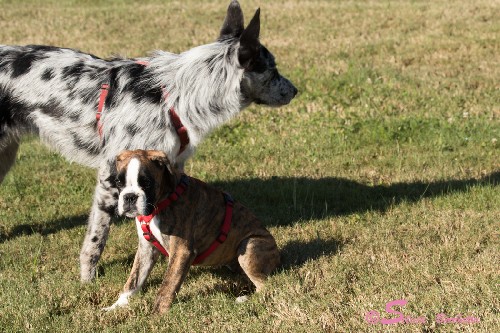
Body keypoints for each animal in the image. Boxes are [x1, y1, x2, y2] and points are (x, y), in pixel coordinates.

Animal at [0, 0, 296, 282]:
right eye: (272, 70)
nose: (295, 90)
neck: (176, 95)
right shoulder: (110, 179)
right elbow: (96, 239)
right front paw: (87, 280)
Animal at [104, 149, 282, 312]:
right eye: (118, 183)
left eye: (147, 182)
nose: (129, 197)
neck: (163, 200)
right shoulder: (146, 249)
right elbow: (133, 280)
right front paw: (117, 306)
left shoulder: (181, 251)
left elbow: (167, 285)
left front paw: (157, 314)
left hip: (249, 245)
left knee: (266, 285)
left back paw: (244, 299)